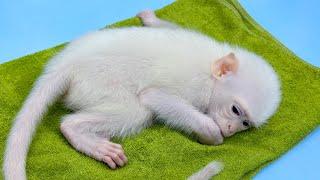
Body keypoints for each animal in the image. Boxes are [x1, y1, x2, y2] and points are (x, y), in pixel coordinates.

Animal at [4, 10, 280, 179]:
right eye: (235, 110)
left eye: (245, 123)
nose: (232, 130)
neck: (211, 70)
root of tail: (64, 64)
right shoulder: (196, 86)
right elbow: (154, 97)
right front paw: (210, 133)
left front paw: (151, 19)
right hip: (98, 81)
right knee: (136, 112)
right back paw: (78, 132)